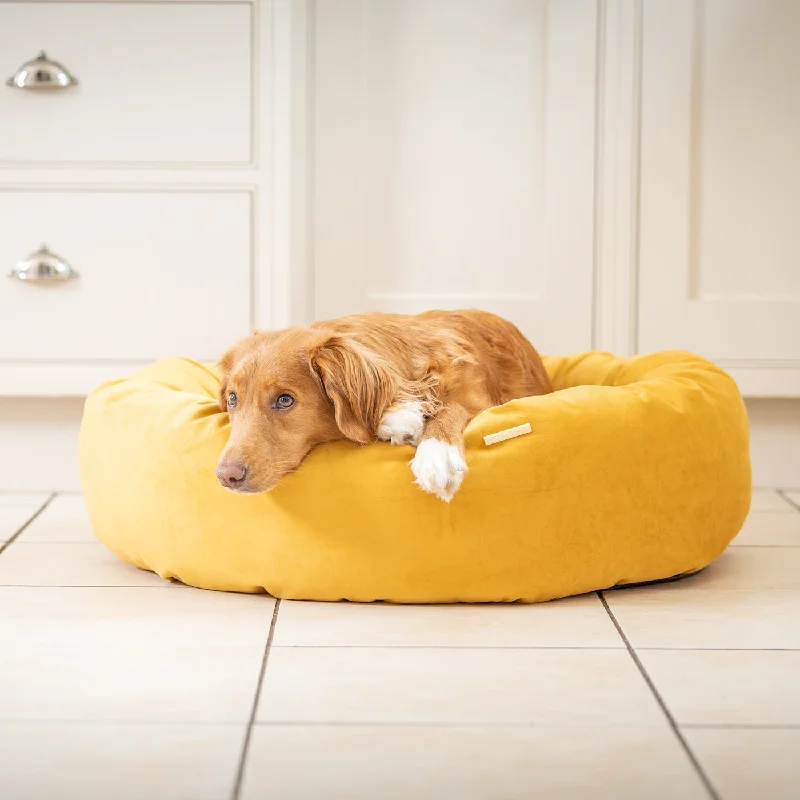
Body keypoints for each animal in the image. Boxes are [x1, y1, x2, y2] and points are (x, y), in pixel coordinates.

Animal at [216, 310, 552, 500]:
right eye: (233, 399)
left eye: (285, 400)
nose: (226, 476)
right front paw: (398, 418)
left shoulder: (478, 398)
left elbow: (449, 408)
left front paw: (437, 455)